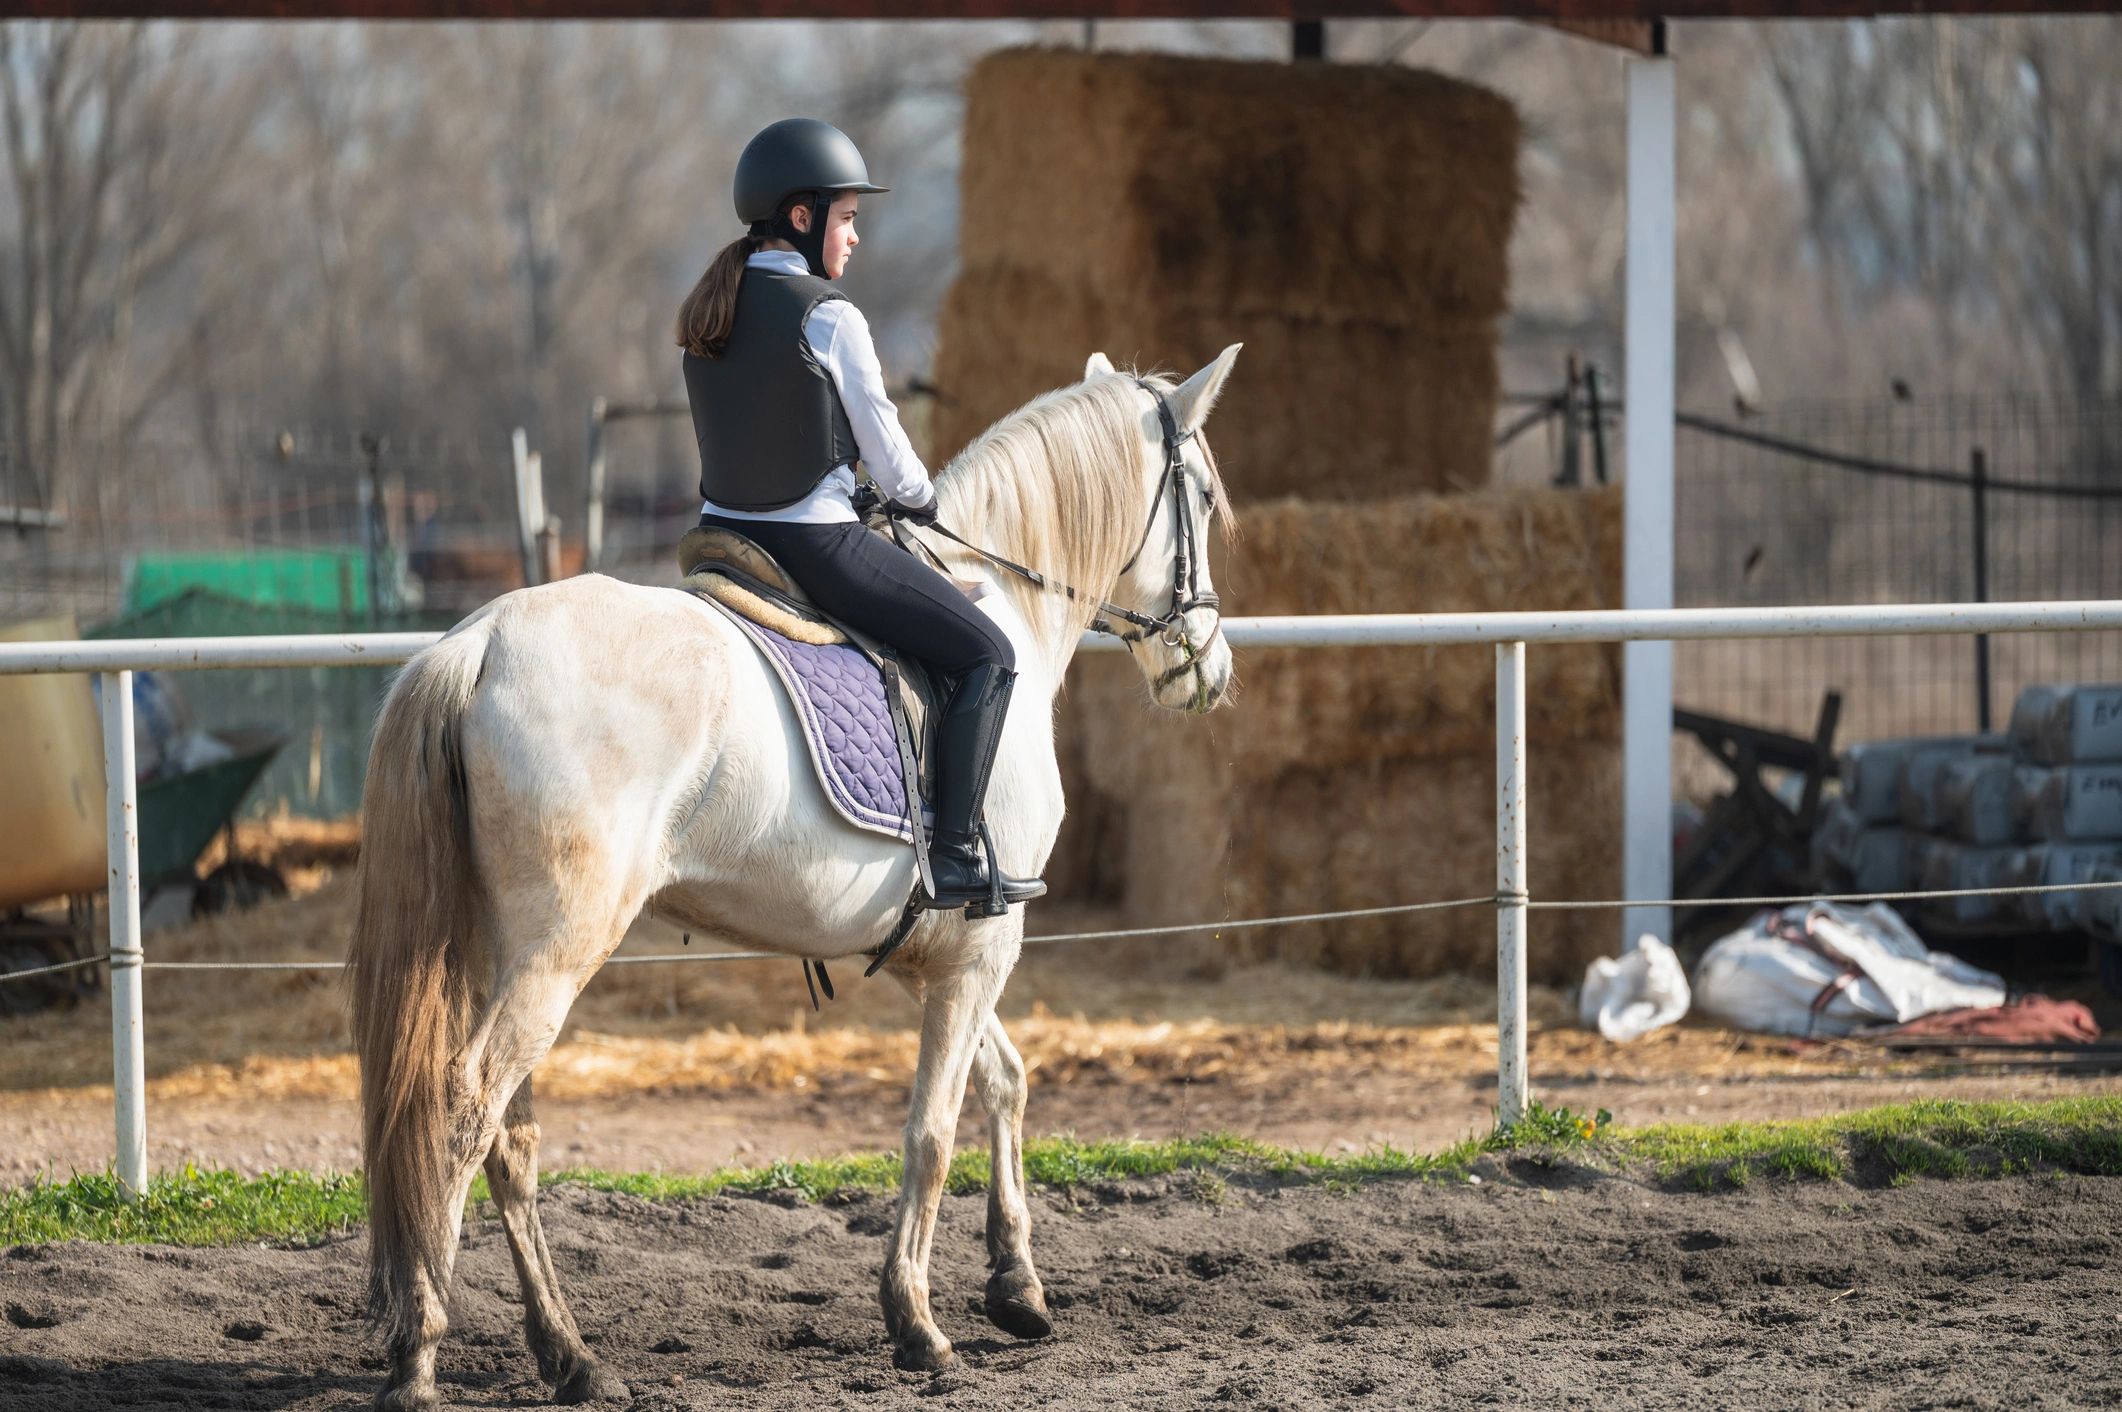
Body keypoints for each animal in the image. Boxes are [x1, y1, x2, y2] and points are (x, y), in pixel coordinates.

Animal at [344, 344, 1242, 1408]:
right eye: (1203, 495)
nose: (1210, 668)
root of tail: (476, 643)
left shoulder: (937, 952)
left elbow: (1004, 1081)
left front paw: (1016, 1285)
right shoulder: (985, 948)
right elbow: (932, 1132)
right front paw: (918, 1323)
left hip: (501, 951)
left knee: (506, 1140)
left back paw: (572, 1356)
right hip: (554, 956)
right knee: (461, 1114)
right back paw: (420, 1354)